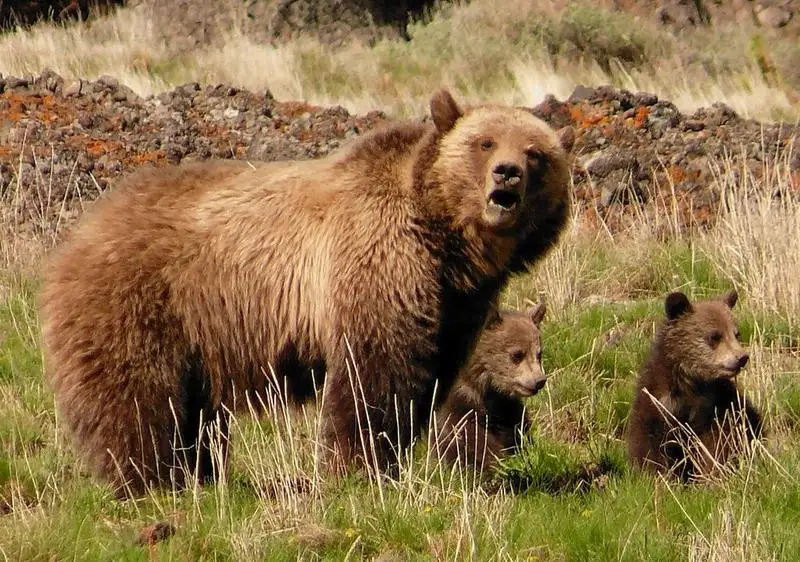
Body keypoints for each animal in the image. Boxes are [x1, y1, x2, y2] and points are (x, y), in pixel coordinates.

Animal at [624, 290, 764, 480]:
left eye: (736, 333)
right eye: (715, 336)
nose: (742, 357)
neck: (691, 383)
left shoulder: (718, 408)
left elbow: (719, 444)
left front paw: (709, 474)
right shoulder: (657, 403)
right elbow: (649, 446)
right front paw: (655, 475)